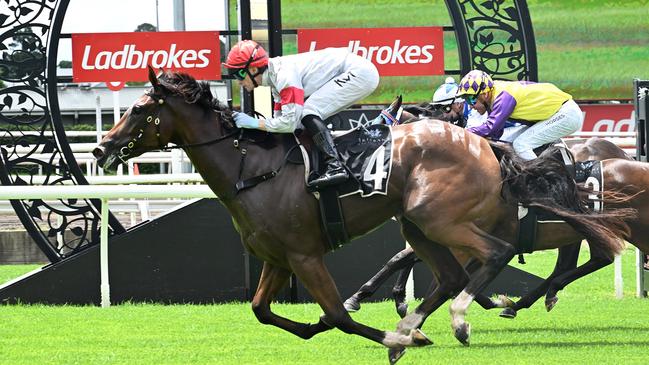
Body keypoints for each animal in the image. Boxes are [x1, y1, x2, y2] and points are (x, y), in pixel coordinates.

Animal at [344, 135, 644, 318]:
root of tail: (623, 155)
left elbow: (404, 258)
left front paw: (364, 297)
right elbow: (409, 258)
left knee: (594, 259)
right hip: (570, 233)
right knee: (579, 262)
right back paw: (526, 302)